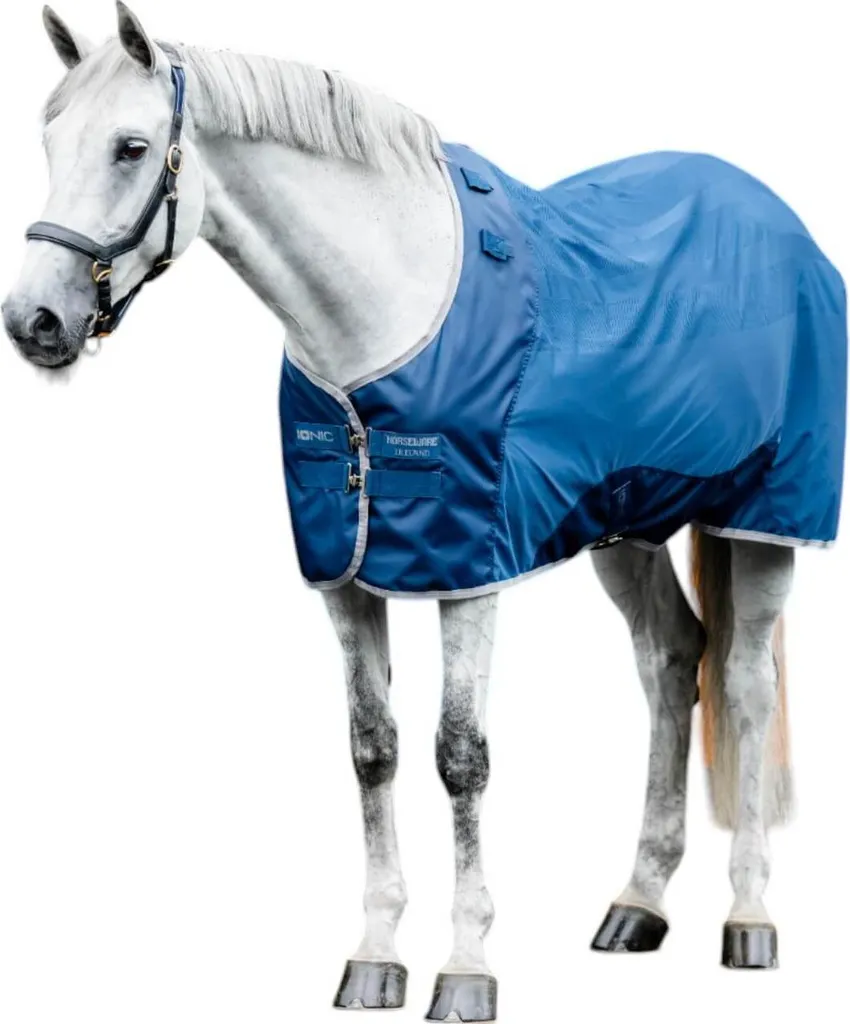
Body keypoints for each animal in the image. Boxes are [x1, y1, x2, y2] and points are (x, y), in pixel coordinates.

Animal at [2, 5, 846, 1020]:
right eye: (48, 142)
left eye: (131, 148)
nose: (33, 321)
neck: (380, 318)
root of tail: (782, 221)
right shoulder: (345, 576)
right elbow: (372, 750)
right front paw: (374, 958)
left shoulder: (468, 570)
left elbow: (460, 756)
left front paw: (467, 968)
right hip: (627, 522)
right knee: (672, 662)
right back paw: (637, 905)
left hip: (763, 520)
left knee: (747, 685)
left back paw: (749, 919)